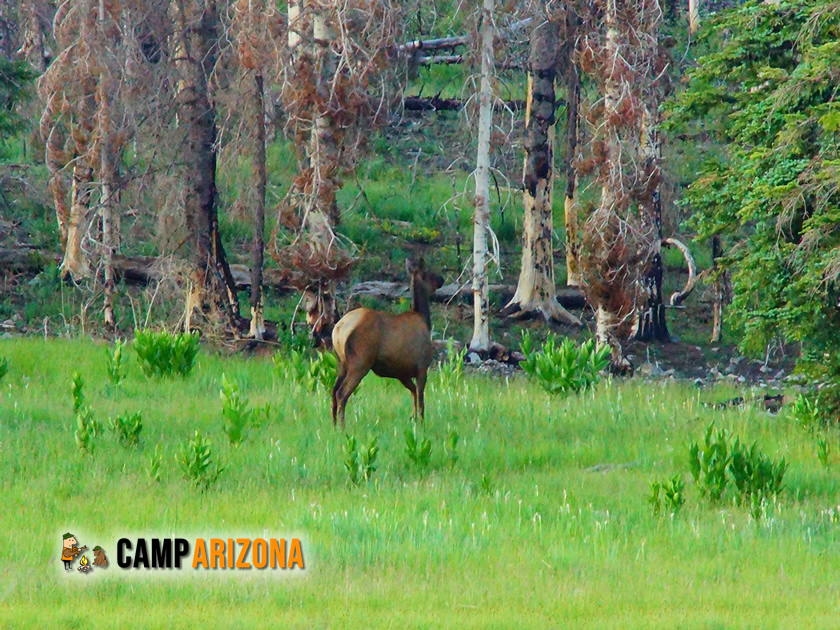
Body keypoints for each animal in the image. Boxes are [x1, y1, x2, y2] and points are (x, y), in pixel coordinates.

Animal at [330, 258, 442, 430]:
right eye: (429, 273)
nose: (442, 279)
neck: (423, 318)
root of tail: (339, 329)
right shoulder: (422, 367)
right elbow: (421, 398)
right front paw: (421, 423)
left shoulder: (403, 373)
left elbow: (414, 393)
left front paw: (413, 418)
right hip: (360, 363)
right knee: (341, 393)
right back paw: (343, 428)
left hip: (341, 363)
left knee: (333, 391)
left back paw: (334, 425)